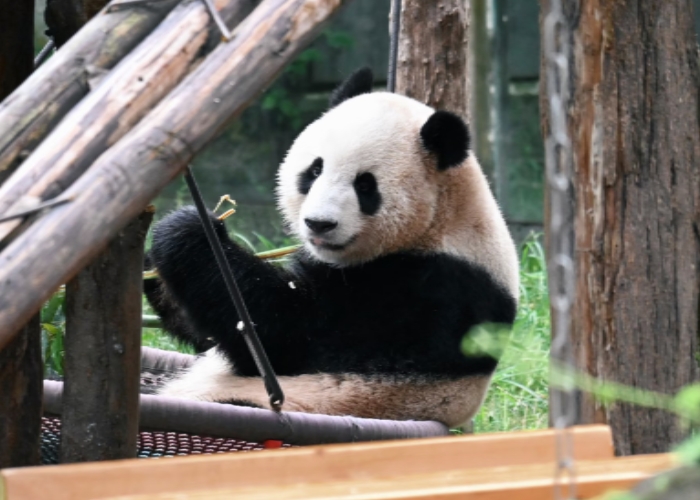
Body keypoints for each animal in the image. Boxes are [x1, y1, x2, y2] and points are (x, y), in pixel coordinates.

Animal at [145, 68, 519, 428]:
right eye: (314, 169)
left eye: (365, 185)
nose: (319, 224)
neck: (442, 218)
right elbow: (208, 340)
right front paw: (151, 267)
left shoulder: (432, 288)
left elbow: (286, 336)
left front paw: (190, 232)